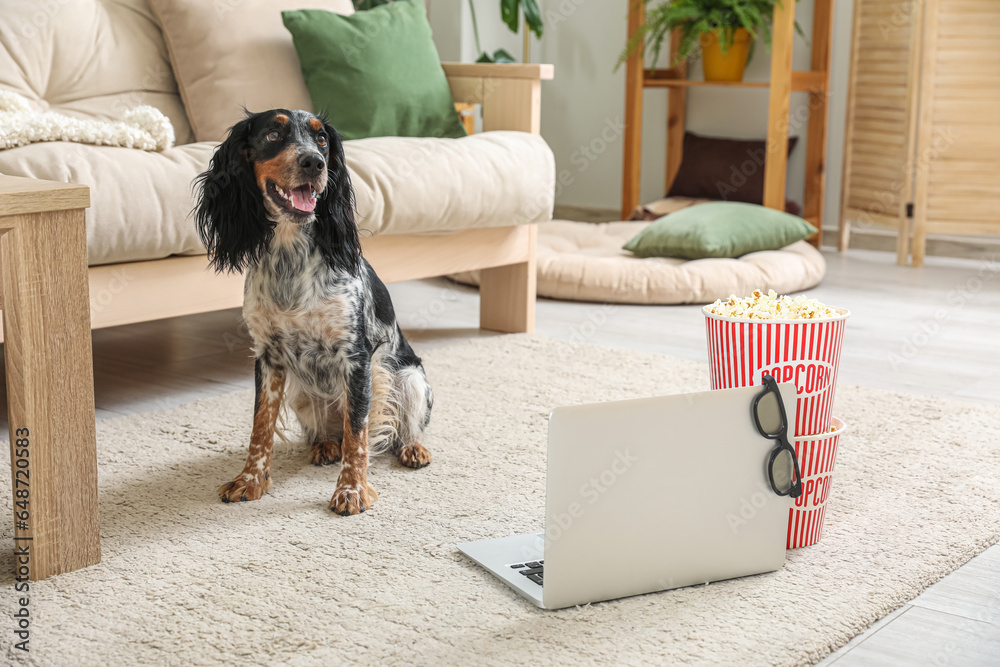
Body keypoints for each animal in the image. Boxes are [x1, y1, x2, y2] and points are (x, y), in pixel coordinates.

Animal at [193, 109, 432, 516]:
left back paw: (413, 448)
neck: (290, 258)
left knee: (402, 427)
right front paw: (250, 481)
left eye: (322, 140)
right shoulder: (268, 356)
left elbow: (358, 433)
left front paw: (352, 490)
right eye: (273, 134)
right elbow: (260, 426)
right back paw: (324, 445)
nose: (314, 162)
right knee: (329, 432)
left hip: (410, 376)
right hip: (303, 393)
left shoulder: (357, 357)